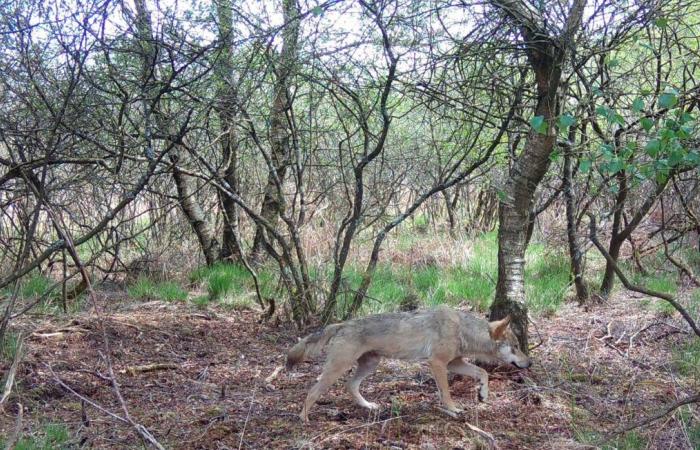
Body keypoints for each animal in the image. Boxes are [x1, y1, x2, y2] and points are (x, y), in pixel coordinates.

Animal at [284, 306, 532, 422]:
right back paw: (303, 418)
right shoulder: (437, 364)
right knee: (313, 391)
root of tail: (341, 324)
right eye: (516, 346)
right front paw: (452, 409)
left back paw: (368, 406)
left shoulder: (454, 363)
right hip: (338, 368)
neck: (463, 329)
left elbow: (483, 373)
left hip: (370, 365)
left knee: (350, 385)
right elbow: (446, 392)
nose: (529, 363)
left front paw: (483, 394)